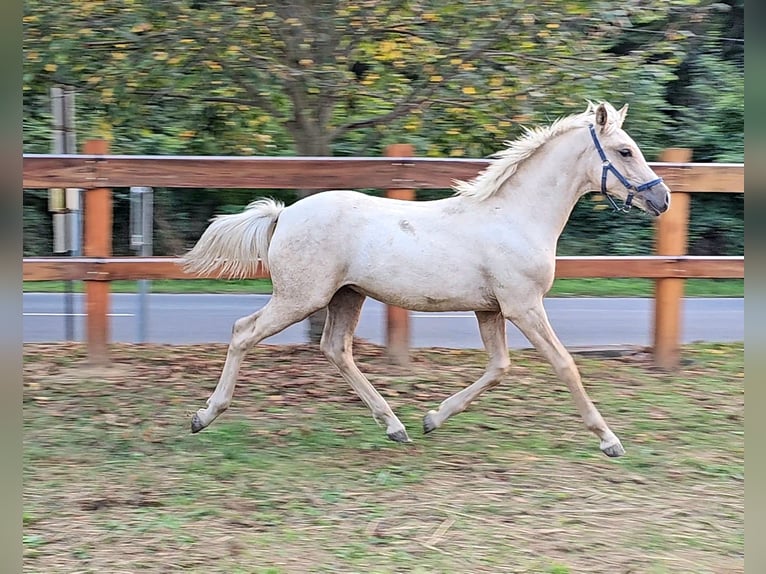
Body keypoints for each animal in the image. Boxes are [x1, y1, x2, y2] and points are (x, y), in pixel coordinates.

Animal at [184, 102, 672, 460]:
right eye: (625, 151)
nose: (662, 198)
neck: (515, 217)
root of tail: (283, 214)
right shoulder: (523, 305)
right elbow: (565, 364)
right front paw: (609, 440)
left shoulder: (490, 309)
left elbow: (499, 367)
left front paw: (432, 419)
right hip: (300, 297)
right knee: (243, 331)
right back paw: (204, 416)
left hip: (347, 296)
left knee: (335, 349)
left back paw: (396, 426)